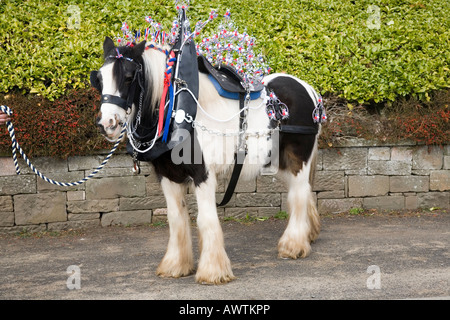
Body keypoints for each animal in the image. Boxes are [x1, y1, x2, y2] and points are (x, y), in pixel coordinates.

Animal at [93, 36, 322, 284]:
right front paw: (175, 265)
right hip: (281, 163)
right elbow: (176, 219)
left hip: (298, 160)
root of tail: (308, 89)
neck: (180, 113)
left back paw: (293, 245)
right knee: (302, 191)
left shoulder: (203, 174)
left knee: (298, 195)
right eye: (99, 79)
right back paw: (308, 234)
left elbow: (206, 219)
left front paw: (212, 271)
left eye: (128, 77)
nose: (107, 124)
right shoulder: (168, 176)